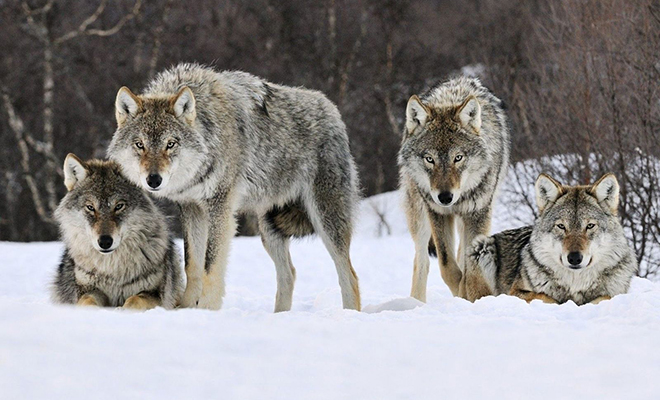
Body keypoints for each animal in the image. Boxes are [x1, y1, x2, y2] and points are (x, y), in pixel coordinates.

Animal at [51, 154, 183, 310]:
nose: (105, 242)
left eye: (119, 206)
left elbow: (135, 300)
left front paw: (123, 310)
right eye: (90, 207)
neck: (112, 270)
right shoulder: (88, 289)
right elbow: (87, 301)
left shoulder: (155, 294)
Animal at [111, 63, 364, 312]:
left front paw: (207, 310)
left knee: (349, 275)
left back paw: (349, 314)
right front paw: (186, 308)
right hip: (269, 229)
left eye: (170, 144)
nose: (153, 180)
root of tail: (332, 109)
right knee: (289, 274)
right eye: (140, 145)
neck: (209, 134)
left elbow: (210, 267)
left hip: (326, 220)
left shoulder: (220, 207)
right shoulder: (192, 208)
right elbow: (192, 265)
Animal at [398, 76, 510, 302]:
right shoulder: (438, 213)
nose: (445, 197)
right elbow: (447, 265)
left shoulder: (478, 213)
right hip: (419, 216)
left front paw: (470, 295)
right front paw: (461, 292)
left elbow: (469, 266)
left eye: (458, 157)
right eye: (429, 159)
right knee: (421, 261)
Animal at [470, 173, 640, 306]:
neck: (575, 284)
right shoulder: (515, 292)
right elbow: (546, 297)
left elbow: (604, 297)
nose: (574, 258)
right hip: (482, 247)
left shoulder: (616, 293)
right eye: (561, 226)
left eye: (590, 226)